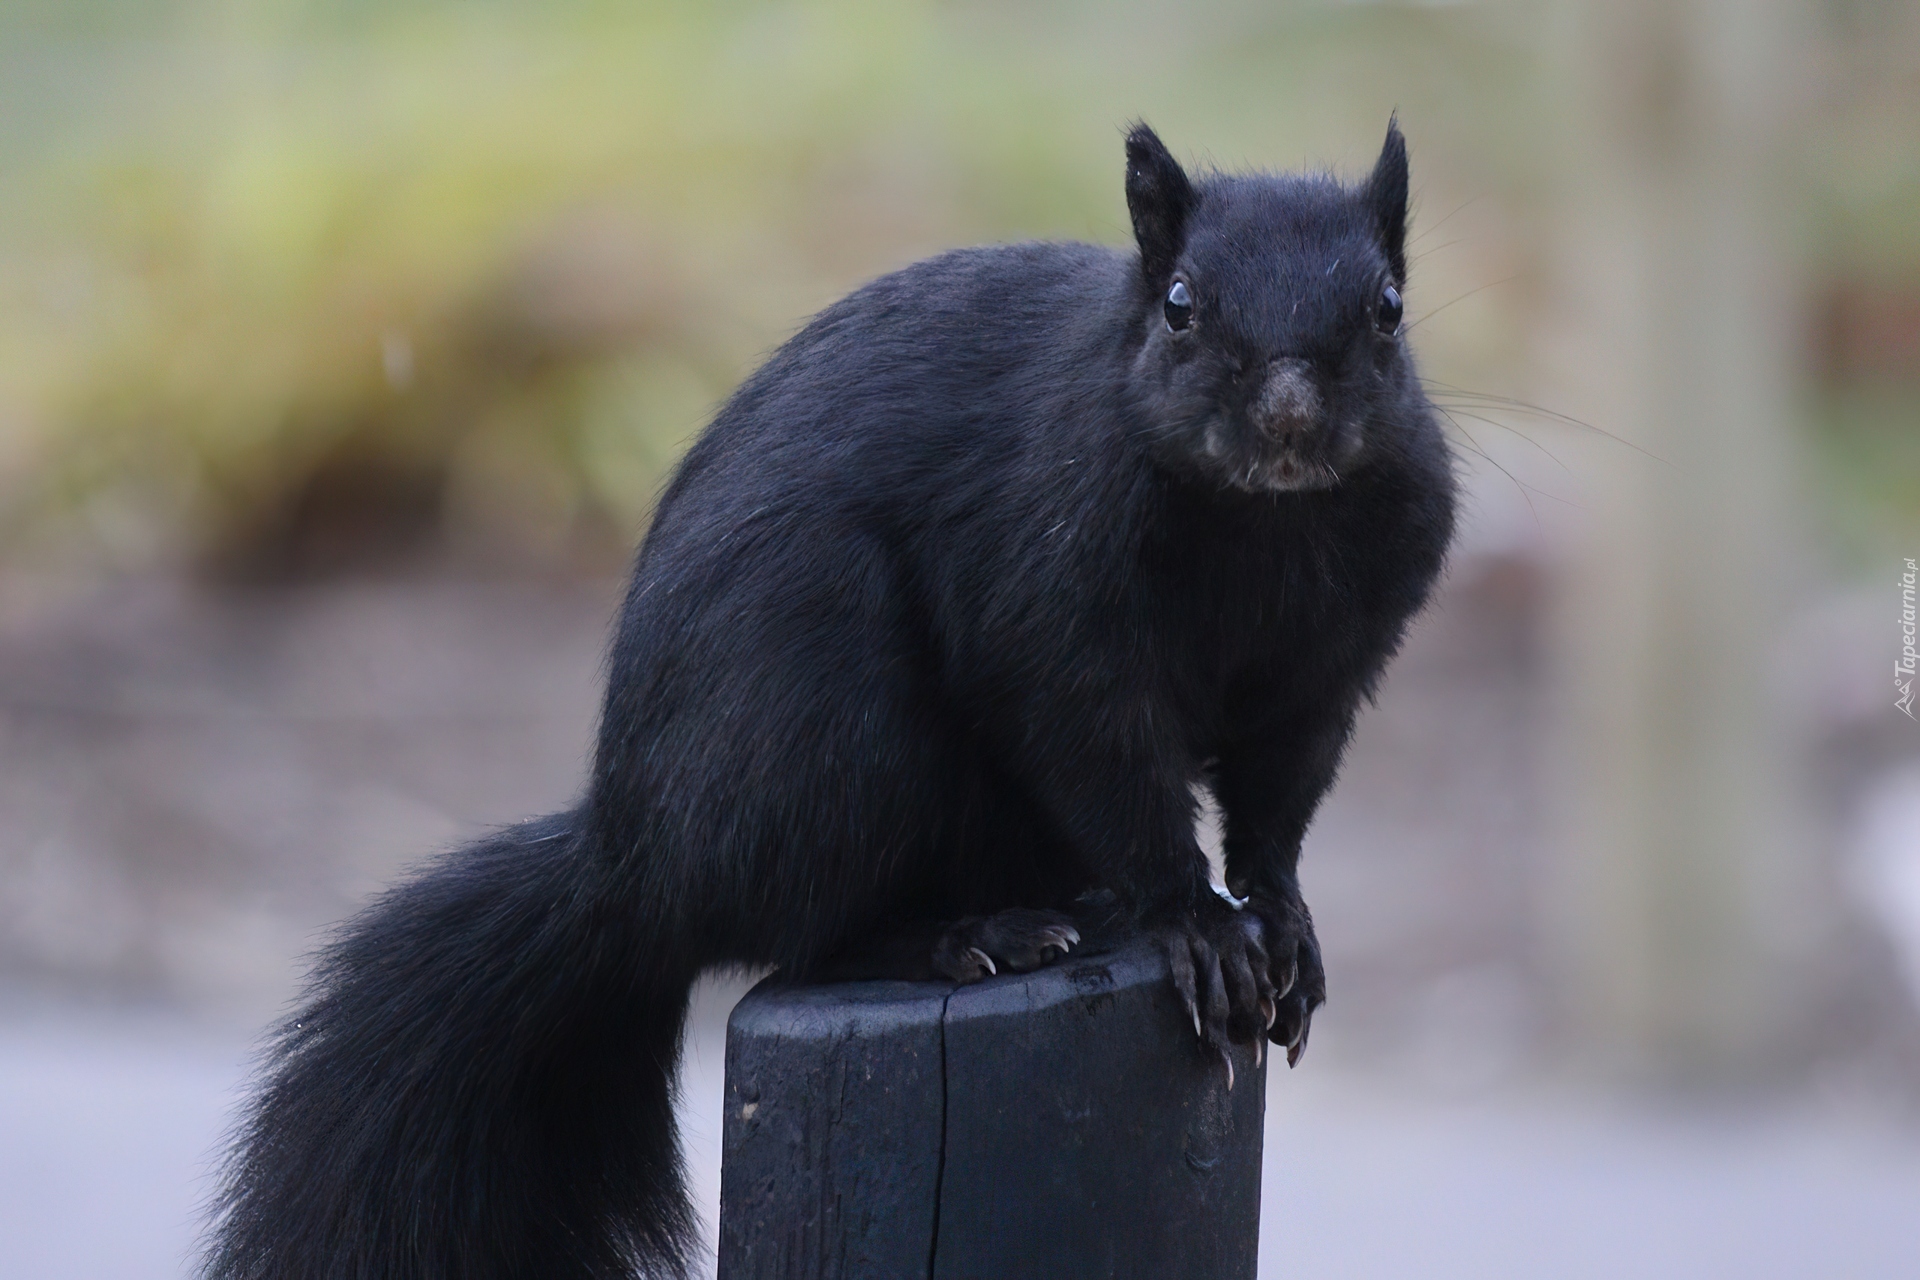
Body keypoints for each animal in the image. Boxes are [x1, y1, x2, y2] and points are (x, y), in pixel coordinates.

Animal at [202, 122, 1451, 1280]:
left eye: (1389, 307)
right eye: (1182, 305)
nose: (1289, 419)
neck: (1265, 522)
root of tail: (629, 864)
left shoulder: (1330, 668)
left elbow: (1278, 804)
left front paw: (1280, 919)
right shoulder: (1053, 612)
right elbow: (1115, 767)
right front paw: (1198, 924)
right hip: (822, 718)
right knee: (799, 936)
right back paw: (968, 936)